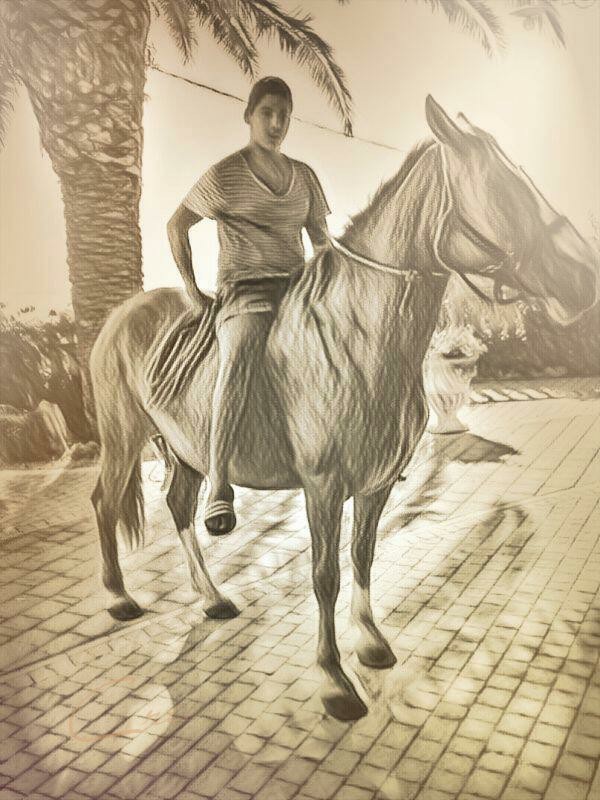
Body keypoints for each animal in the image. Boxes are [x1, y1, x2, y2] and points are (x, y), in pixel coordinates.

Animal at [90, 96, 598, 721]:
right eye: (503, 187)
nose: (584, 279)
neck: (356, 339)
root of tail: (121, 313)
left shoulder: (376, 484)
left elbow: (364, 556)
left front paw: (372, 643)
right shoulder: (324, 485)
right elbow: (325, 575)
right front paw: (333, 678)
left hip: (184, 449)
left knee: (179, 507)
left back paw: (211, 599)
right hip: (122, 437)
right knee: (106, 500)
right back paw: (119, 596)